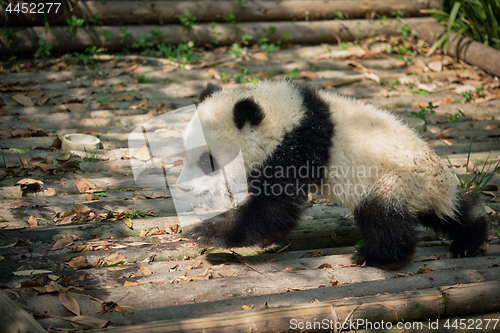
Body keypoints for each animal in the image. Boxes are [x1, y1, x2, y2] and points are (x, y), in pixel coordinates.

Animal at [177, 80, 488, 268]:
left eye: (208, 161)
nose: (184, 189)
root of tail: (435, 188)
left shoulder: (293, 150)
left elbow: (274, 210)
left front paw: (205, 233)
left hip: (392, 181)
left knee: (380, 218)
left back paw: (375, 255)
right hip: (420, 190)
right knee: (450, 213)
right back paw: (468, 239)